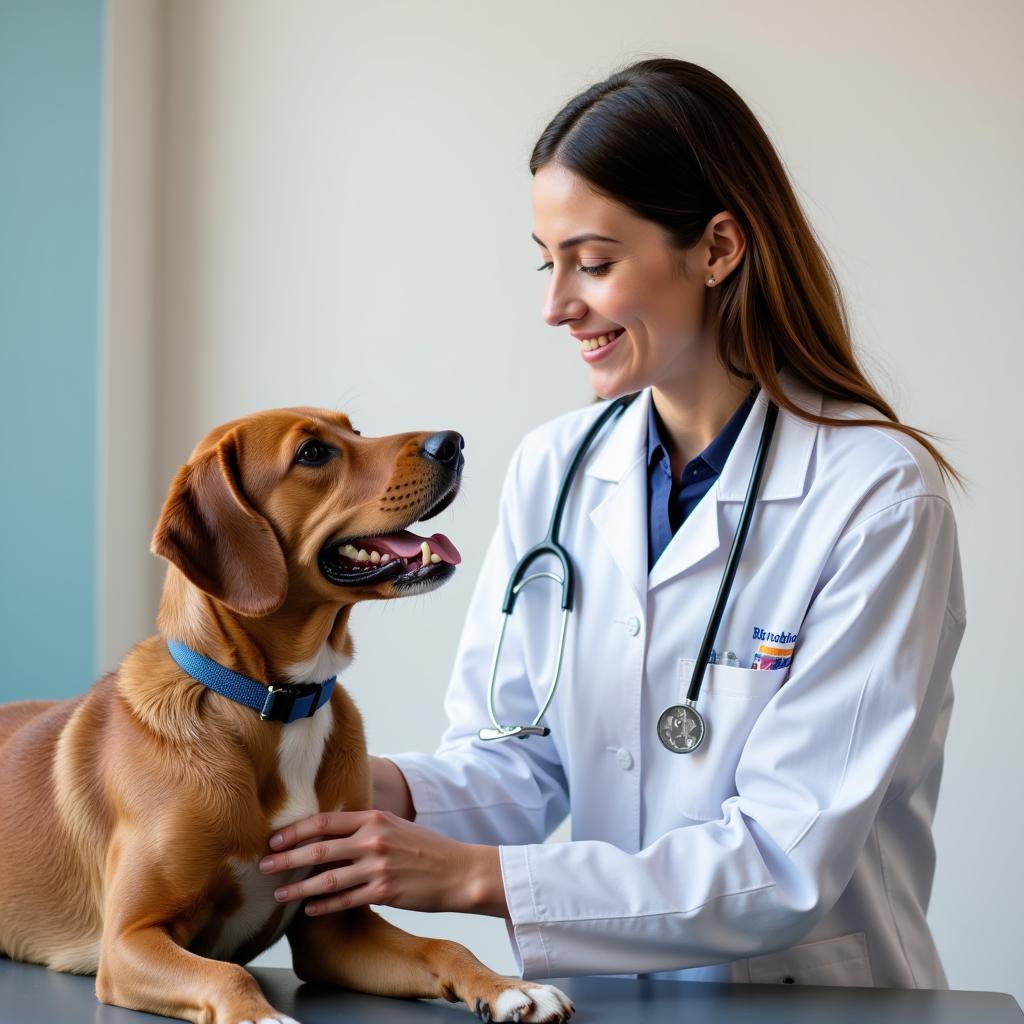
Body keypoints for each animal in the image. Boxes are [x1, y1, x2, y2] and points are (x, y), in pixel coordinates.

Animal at [0, 407, 573, 1024]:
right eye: (312, 454)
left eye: (356, 430)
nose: (454, 443)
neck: (278, 702)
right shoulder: (131, 937)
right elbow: (226, 973)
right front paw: (259, 1015)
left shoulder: (335, 927)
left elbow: (444, 944)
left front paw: (508, 985)